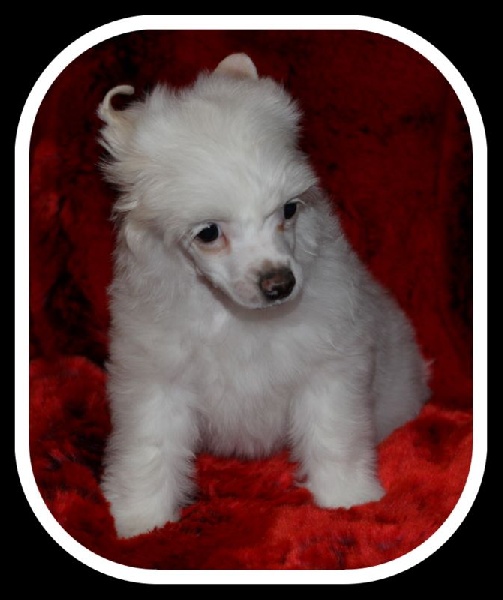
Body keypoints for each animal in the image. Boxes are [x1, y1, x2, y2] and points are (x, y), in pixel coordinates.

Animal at [98, 53, 430, 538]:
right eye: (209, 233)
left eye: (289, 210)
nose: (280, 284)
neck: (235, 317)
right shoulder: (156, 381)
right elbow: (150, 449)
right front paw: (142, 521)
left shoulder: (329, 372)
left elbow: (334, 438)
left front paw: (349, 500)